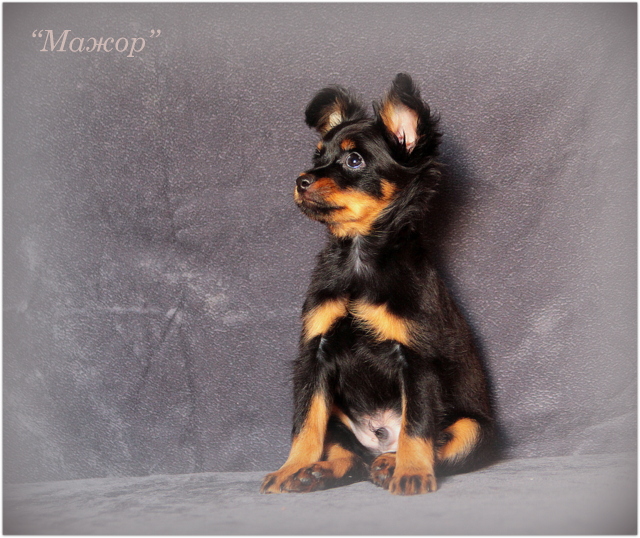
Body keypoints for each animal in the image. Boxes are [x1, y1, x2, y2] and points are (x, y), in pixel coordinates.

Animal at [261, 73, 493, 495]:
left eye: (354, 161)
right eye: (317, 158)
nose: (301, 180)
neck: (358, 255)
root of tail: (379, 441)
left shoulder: (417, 360)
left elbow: (417, 427)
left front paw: (412, 473)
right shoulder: (313, 355)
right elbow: (305, 425)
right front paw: (291, 468)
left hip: (474, 428)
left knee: (434, 442)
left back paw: (390, 464)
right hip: (341, 417)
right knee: (348, 455)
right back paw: (316, 473)